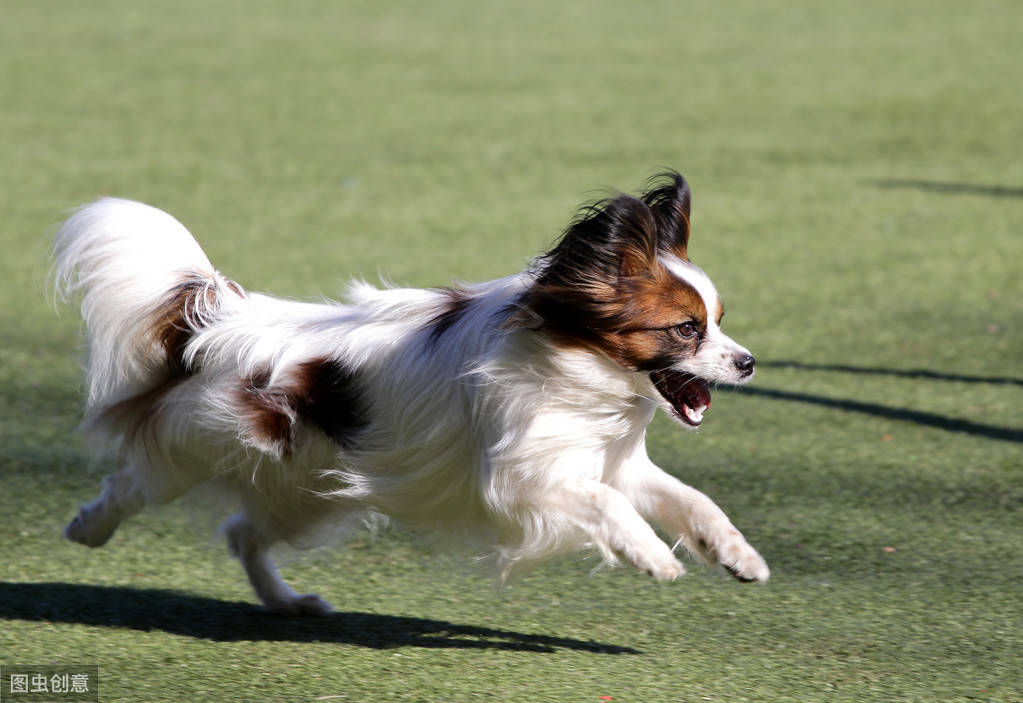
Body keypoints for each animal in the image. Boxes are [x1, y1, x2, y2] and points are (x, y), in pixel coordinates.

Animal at [49, 171, 769, 613]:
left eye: (720, 320)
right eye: (686, 329)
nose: (749, 362)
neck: (576, 367)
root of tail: (221, 319)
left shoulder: (610, 464)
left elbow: (693, 501)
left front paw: (737, 556)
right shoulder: (520, 482)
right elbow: (609, 508)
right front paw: (651, 557)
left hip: (306, 495)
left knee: (240, 533)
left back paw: (288, 603)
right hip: (192, 449)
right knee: (131, 486)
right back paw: (87, 528)